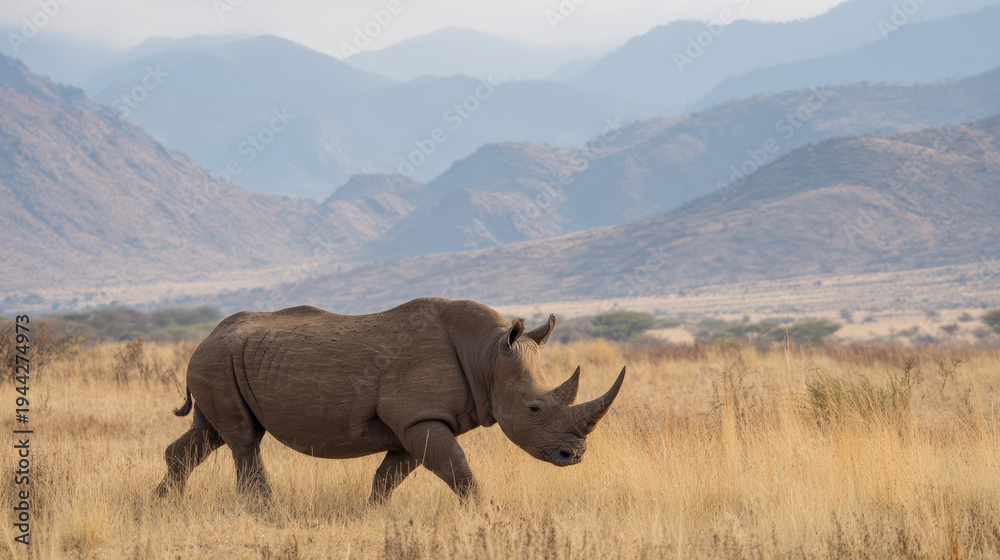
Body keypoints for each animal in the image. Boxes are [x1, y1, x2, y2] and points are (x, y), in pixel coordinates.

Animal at [155, 298, 626, 503]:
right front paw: (484, 512)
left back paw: (164, 502)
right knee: (243, 439)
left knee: (210, 433)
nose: (574, 456)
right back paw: (264, 510)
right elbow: (457, 469)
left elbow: (389, 476)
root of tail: (206, 336)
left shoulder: (414, 422)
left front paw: (371, 513)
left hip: (221, 359)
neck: (488, 355)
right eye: (534, 409)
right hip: (218, 359)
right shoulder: (421, 416)